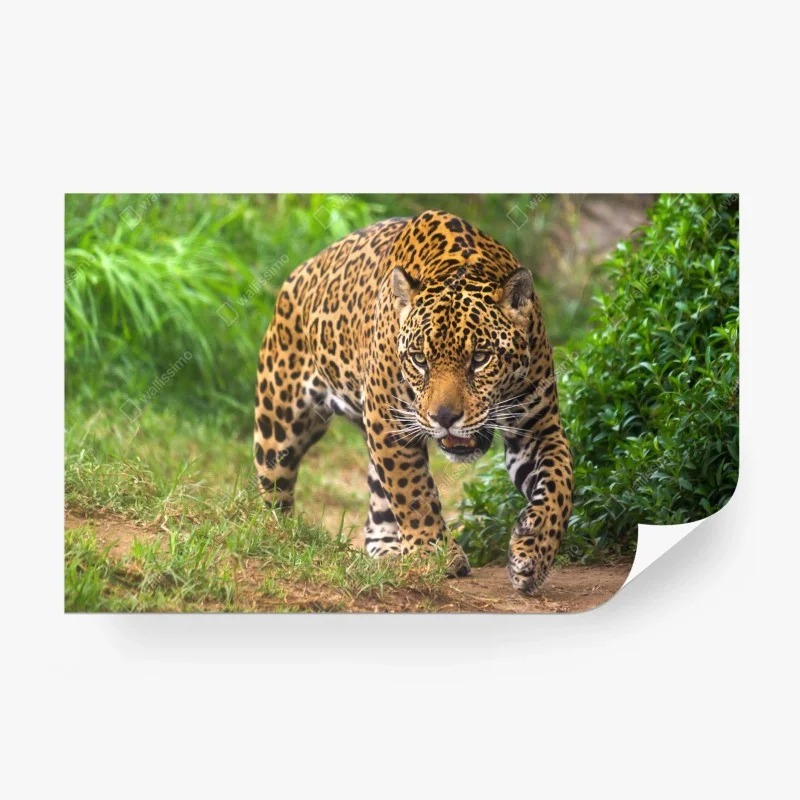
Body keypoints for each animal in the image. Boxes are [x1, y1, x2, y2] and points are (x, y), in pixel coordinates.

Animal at [254, 209, 573, 594]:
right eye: (420, 359)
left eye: (481, 358)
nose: (445, 417)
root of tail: (301, 271)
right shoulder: (389, 421)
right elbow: (413, 490)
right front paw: (434, 553)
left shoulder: (538, 428)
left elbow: (560, 484)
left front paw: (533, 549)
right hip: (280, 424)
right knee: (275, 490)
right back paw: (279, 539)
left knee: (379, 500)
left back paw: (388, 551)